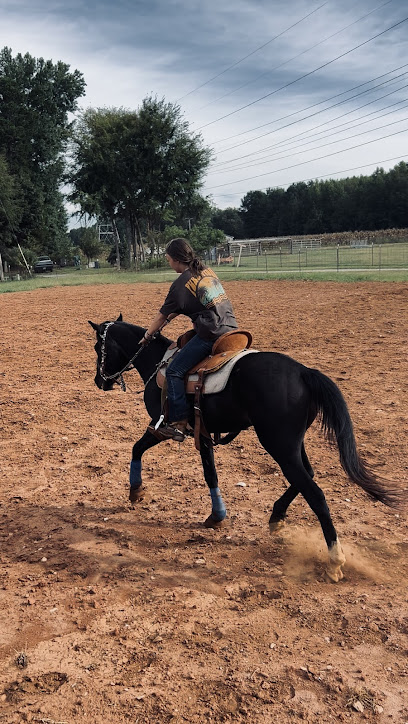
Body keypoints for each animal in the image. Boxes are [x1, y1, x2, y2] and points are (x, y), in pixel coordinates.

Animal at [88, 315, 401, 582]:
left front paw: (136, 490)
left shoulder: (162, 426)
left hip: (278, 445)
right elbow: (209, 473)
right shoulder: (202, 434)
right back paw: (276, 518)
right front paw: (216, 515)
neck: (158, 364)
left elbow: (138, 449)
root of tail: (303, 373)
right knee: (308, 476)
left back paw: (334, 562)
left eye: (97, 347)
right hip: (291, 444)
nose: (99, 381)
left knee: (314, 492)